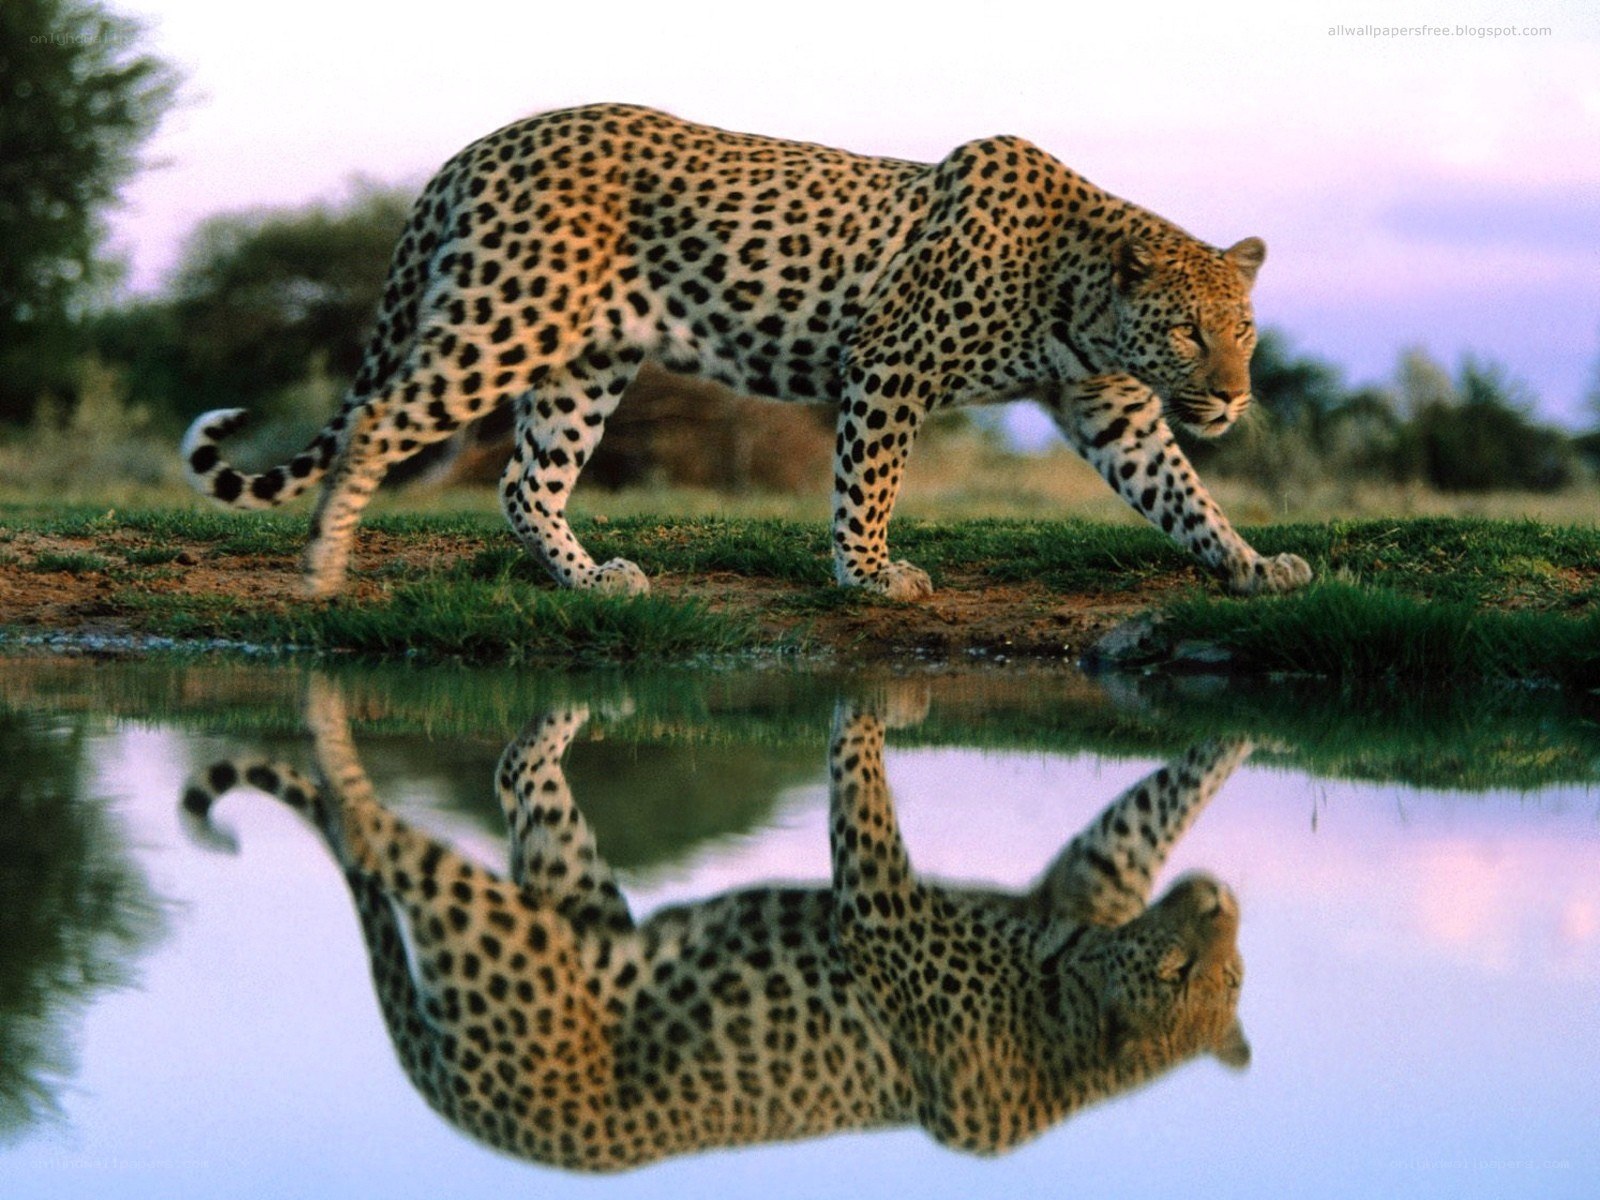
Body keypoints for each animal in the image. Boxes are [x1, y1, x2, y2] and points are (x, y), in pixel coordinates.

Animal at [181, 103, 1311, 602]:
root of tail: (480, 145)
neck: (1076, 290)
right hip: (504, 322)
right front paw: (868, 575)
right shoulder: (889, 365)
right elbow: (868, 482)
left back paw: (589, 580)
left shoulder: (1110, 409)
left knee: (523, 480)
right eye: (1185, 329)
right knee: (376, 421)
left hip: (585, 362)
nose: (1230, 397)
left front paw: (1253, 564)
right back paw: (322, 567)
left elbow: (1181, 493)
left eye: (1245, 330)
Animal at [182, 678, 1251, 1171]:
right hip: (504, 932)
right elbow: (862, 789)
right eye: (1177, 973)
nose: (1222, 902)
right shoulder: (885, 906)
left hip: (551, 907)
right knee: (376, 832)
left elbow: (1142, 813)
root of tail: (477, 1120)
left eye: (1230, 977)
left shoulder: (1075, 882)